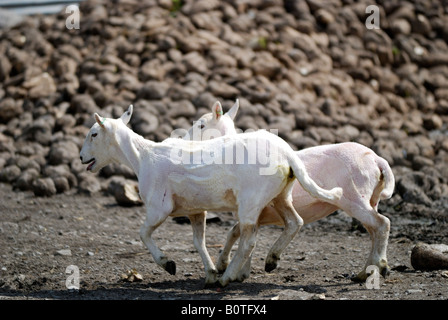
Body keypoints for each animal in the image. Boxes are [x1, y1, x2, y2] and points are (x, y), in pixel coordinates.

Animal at [80, 105, 342, 288]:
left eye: (93, 134)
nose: (82, 158)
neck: (142, 156)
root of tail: (288, 154)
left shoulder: (159, 207)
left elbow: (143, 233)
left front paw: (169, 264)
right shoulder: (196, 210)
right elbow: (199, 242)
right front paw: (210, 274)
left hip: (251, 200)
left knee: (250, 241)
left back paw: (229, 276)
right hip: (279, 195)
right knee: (294, 222)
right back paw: (271, 259)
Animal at [189, 99, 396, 280]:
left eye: (201, 125)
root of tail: (377, 159)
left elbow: (235, 234)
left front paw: (229, 268)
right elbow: (236, 233)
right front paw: (236, 269)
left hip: (354, 196)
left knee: (382, 223)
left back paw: (377, 267)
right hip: (372, 198)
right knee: (374, 231)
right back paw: (368, 272)